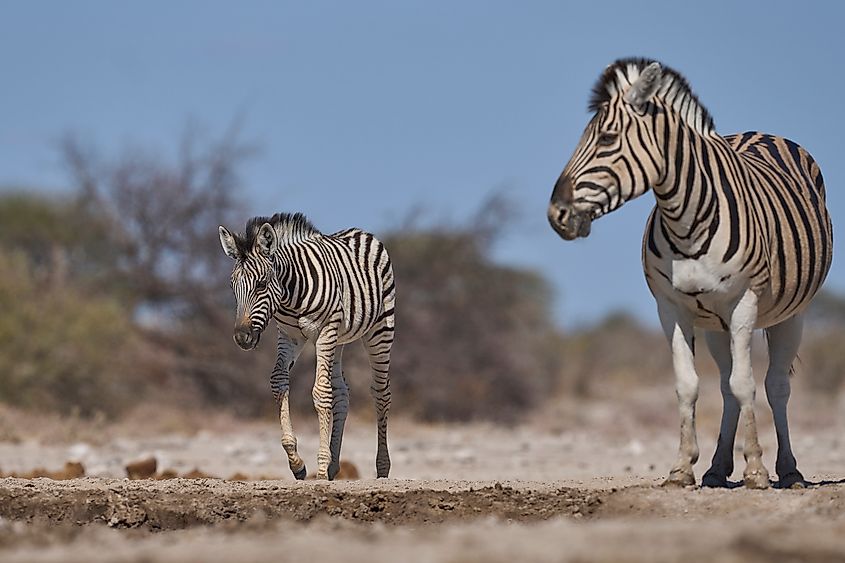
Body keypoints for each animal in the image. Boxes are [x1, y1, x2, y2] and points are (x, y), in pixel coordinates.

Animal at [218, 212, 395, 480]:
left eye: (261, 285)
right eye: (232, 287)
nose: (242, 337)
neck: (291, 295)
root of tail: (359, 231)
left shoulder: (325, 330)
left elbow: (321, 392)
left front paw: (320, 468)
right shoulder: (289, 335)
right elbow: (279, 382)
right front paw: (298, 463)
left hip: (379, 330)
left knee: (381, 392)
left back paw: (382, 468)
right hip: (338, 339)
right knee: (342, 392)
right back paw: (334, 466)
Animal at [547, 58, 832, 489]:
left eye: (608, 138)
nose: (556, 214)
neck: (687, 220)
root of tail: (760, 132)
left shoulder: (744, 303)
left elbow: (747, 385)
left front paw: (755, 469)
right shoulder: (671, 308)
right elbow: (689, 386)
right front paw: (682, 467)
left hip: (790, 314)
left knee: (776, 385)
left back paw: (788, 470)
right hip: (715, 324)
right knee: (726, 386)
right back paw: (716, 468)